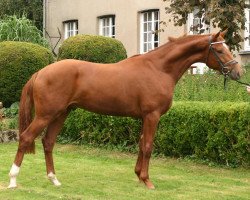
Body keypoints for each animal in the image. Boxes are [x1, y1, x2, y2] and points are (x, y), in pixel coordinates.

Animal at [7, 30, 242, 189]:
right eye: (219, 49)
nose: (238, 72)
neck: (159, 68)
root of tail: (40, 72)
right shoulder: (152, 116)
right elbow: (148, 146)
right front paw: (147, 181)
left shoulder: (144, 117)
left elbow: (141, 144)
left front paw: (139, 175)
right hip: (46, 115)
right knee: (26, 137)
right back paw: (13, 180)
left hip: (61, 114)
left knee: (48, 142)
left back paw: (54, 179)